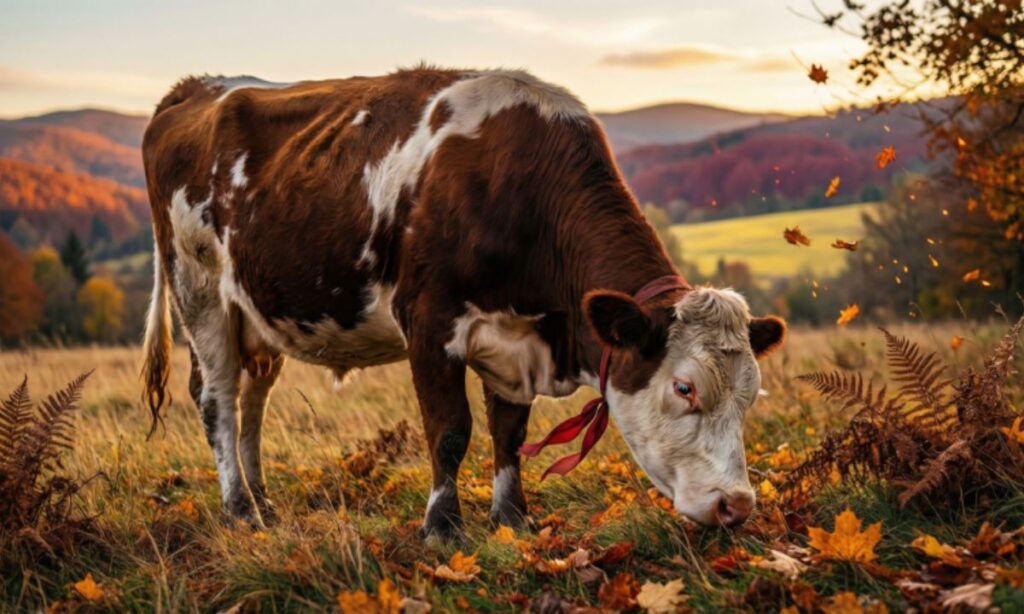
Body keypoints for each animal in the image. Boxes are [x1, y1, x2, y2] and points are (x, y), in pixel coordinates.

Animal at [140, 67, 786, 538]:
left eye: (751, 394)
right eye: (684, 387)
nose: (737, 506)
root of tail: (196, 88)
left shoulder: (520, 343)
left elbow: (508, 432)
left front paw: (512, 518)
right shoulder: (428, 322)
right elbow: (450, 430)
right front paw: (443, 526)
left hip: (259, 313)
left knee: (253, 399)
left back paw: (263, 500)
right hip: (198, 291)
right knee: (218, 400)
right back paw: (239, 509)